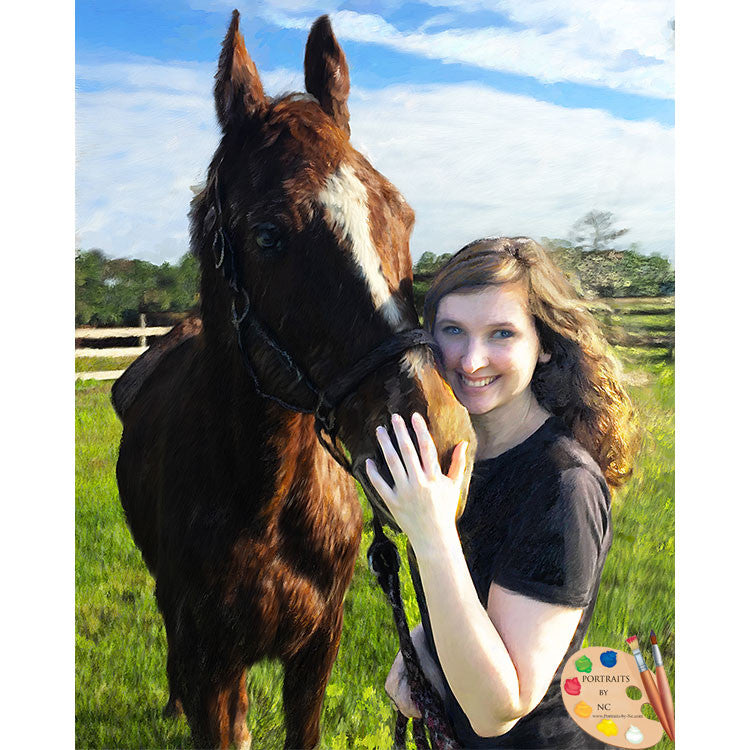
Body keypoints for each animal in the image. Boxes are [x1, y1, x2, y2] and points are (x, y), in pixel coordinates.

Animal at [112, 11, 475, 749]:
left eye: (402, 213)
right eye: (269, 235)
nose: (442, 441)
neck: (265, 498)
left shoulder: (316, 649)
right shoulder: (212, 668)